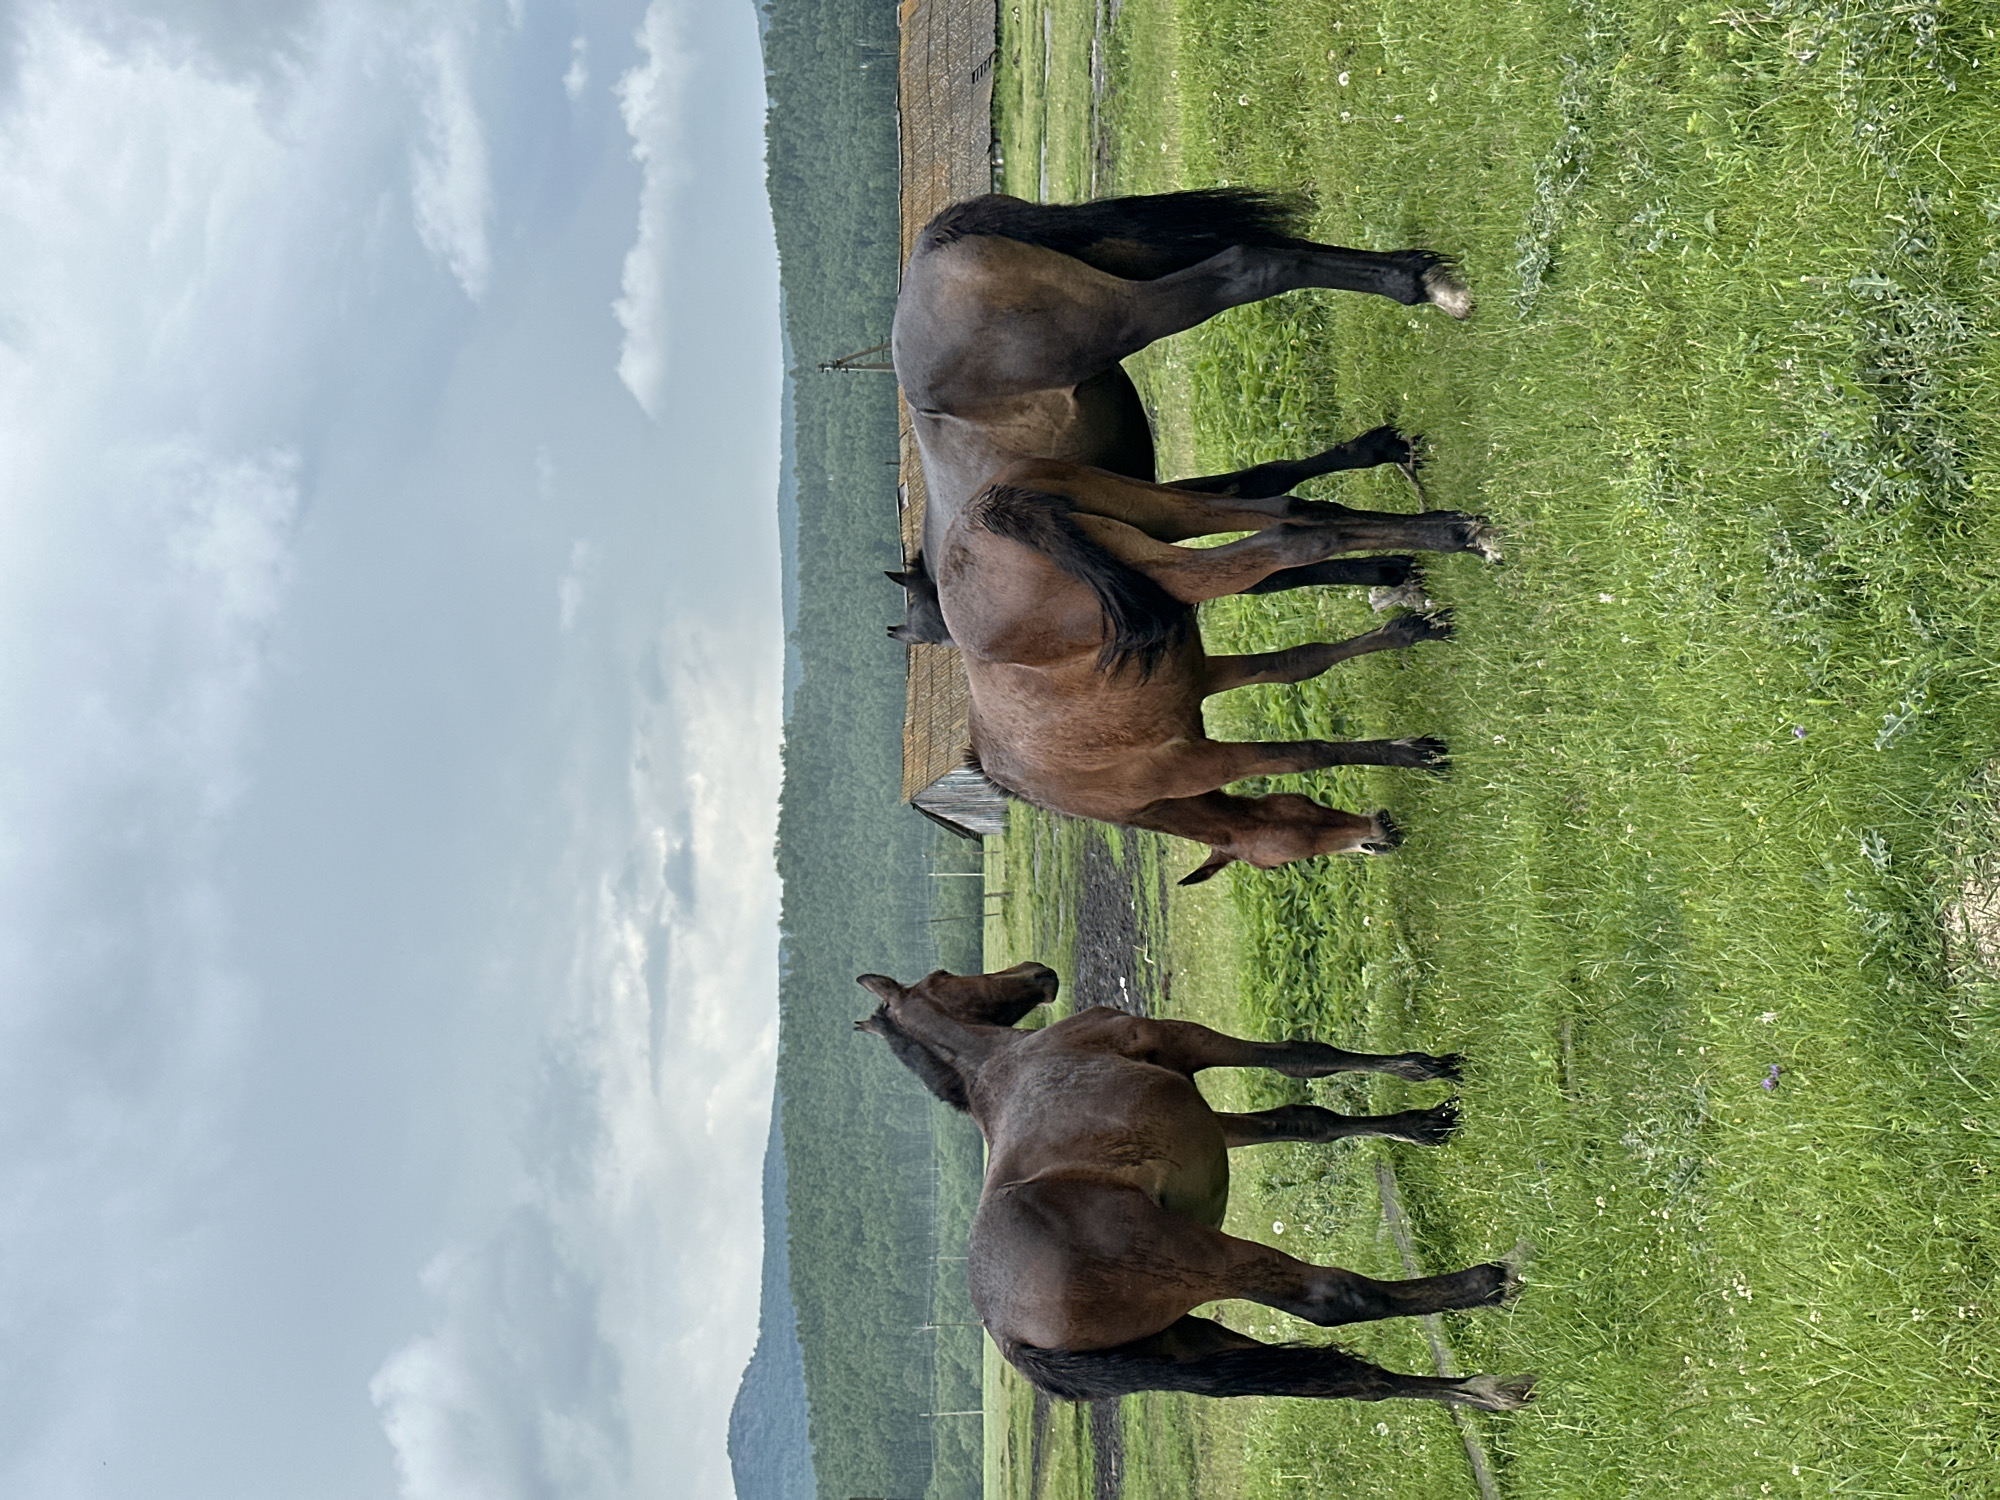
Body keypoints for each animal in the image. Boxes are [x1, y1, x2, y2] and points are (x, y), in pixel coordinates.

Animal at [854, 962, 1534, 1409]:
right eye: (945, 977)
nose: (1037, 972)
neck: (1001, 1063)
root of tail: (1011, 1337)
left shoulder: (1207, 1123)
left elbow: (1306, 1121)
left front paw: (1421, 1123)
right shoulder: (1178, 1037)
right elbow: (1301, 1056)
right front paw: (1425, 1070)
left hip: (1184, 1341)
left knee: (1348, 1381)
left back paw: (1486, 1393)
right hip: (1208, 1259)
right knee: (1336, 1300)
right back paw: (1489, 1283)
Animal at [931, 458, 1497, 883]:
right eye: (1282, 859)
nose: (1378, 835)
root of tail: (988, 514)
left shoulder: (1200, 760)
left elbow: (1302, 750)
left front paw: (1413, 751)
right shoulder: (1202, 685)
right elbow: (1300, 669)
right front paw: (1414, 636)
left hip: (1170, 554)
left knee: (1291, 539)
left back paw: (1457, 535)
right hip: (1163, 511)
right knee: (1293, 511)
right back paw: (1448, 526)